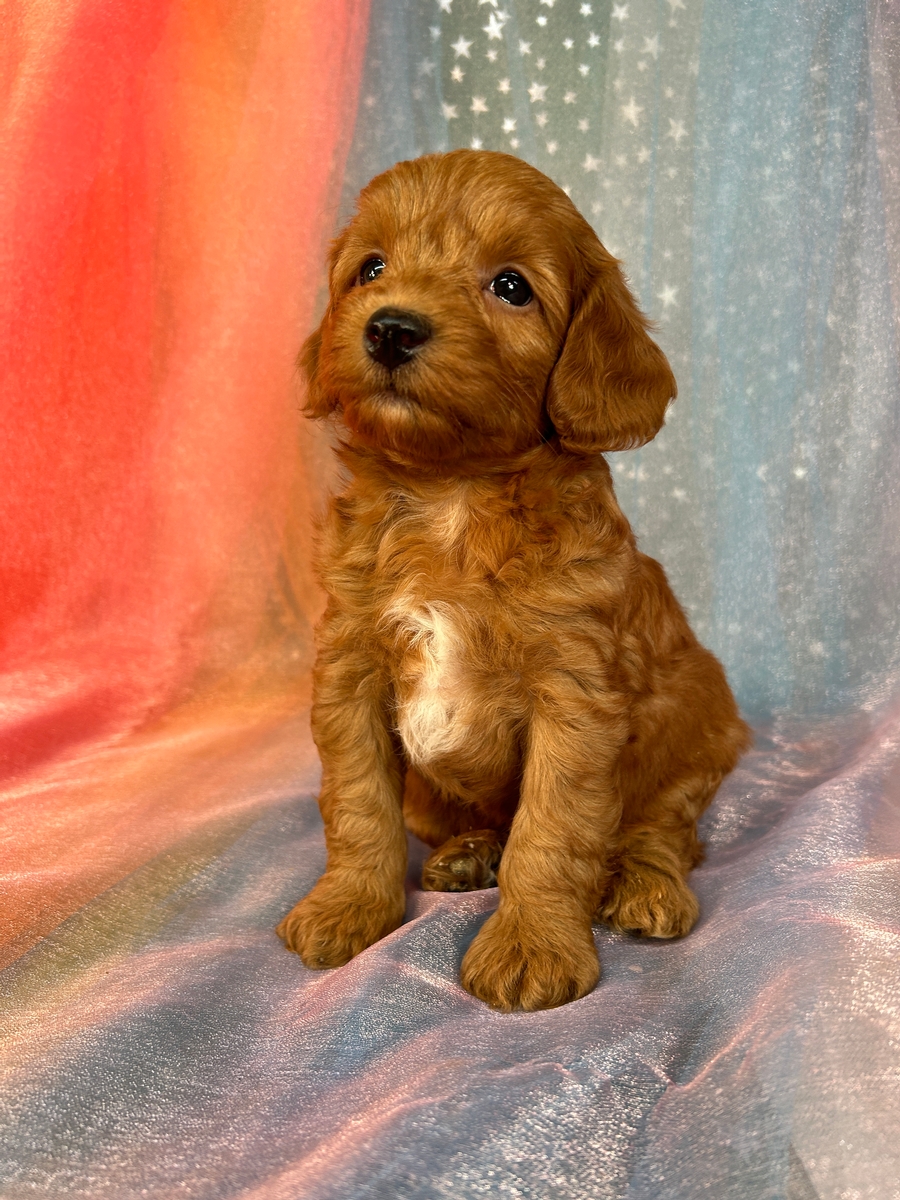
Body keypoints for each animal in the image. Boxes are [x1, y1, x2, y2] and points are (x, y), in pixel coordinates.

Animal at [277, 152, 753, 1012]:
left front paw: (534, 943)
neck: (452, 496)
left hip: (697, 732)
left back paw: (646, 890)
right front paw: (348, 905)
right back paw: (468, 852)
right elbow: (358, 804)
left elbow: (552, 829)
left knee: (662, 830)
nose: (390, 327)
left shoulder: (576, 697)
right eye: (371, 268)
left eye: (510, 286)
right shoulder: (350, 671)